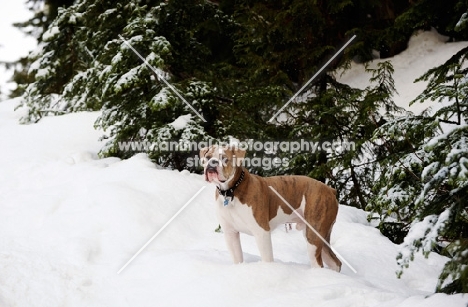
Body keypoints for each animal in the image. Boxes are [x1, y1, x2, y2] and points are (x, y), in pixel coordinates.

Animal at [199, 145, 342, 272]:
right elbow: (237, 258)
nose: (212, 164)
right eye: (208, 157)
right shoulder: (230, 233)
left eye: (224, 158)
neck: (231, 190)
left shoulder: (261, 232)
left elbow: (267, 258)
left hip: (314, 234)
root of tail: (330, 190)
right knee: (335, 263)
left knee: (319, 263)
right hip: (319, 235)